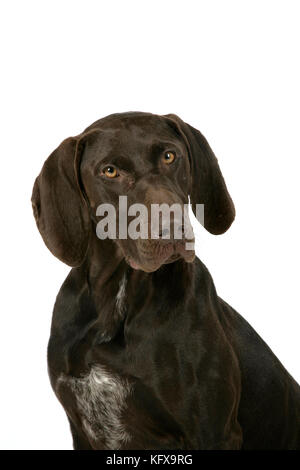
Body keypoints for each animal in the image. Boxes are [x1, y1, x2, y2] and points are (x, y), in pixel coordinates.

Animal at [31, 112, 298, 450]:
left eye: (170, 156)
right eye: (110, 171)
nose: (172, 226)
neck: (116, 301)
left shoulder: (214, 431)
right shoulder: (81, 430)